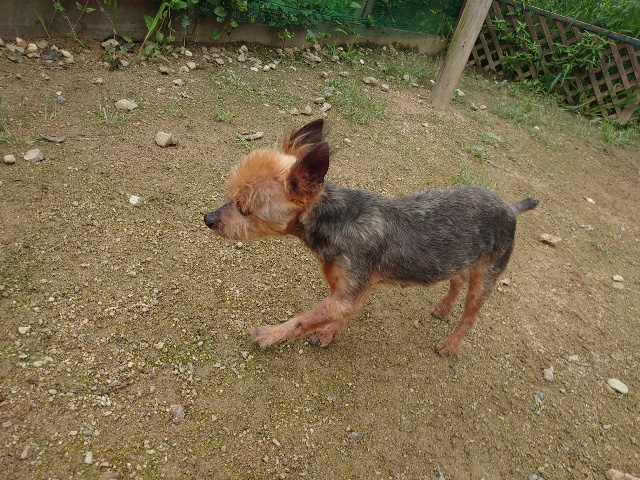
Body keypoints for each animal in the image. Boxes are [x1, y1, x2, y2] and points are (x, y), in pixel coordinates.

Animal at [204, 119, 538, 355]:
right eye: (231, 197)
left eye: (243, 208)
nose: (208, 219)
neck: (336, 220)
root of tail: (510, 207)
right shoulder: (351, 288)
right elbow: (340, 314)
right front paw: (328, 332)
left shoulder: (348, 290)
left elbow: (305, 318)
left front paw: (271, 334)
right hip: (459, 257)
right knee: (456, 279)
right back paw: (444, 307)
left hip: (487, 274)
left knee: (470, 315)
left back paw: (451, 344)